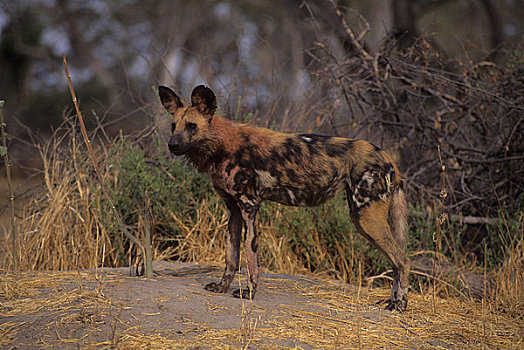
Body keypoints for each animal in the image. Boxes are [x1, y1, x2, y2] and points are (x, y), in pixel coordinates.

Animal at [158, 85, 412, 312]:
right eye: (173, 127)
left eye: (192, 126)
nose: (172, 145)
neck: (220, 146)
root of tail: (388, 157)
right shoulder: (233, 211)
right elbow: (231, 256)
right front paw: (222, 287)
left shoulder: (250, 206)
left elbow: (250, 257)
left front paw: (249, 292)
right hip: (362, 218)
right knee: (398, 261)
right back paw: (395, 302)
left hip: (366, 218)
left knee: (402, 261)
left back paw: (398, 304)